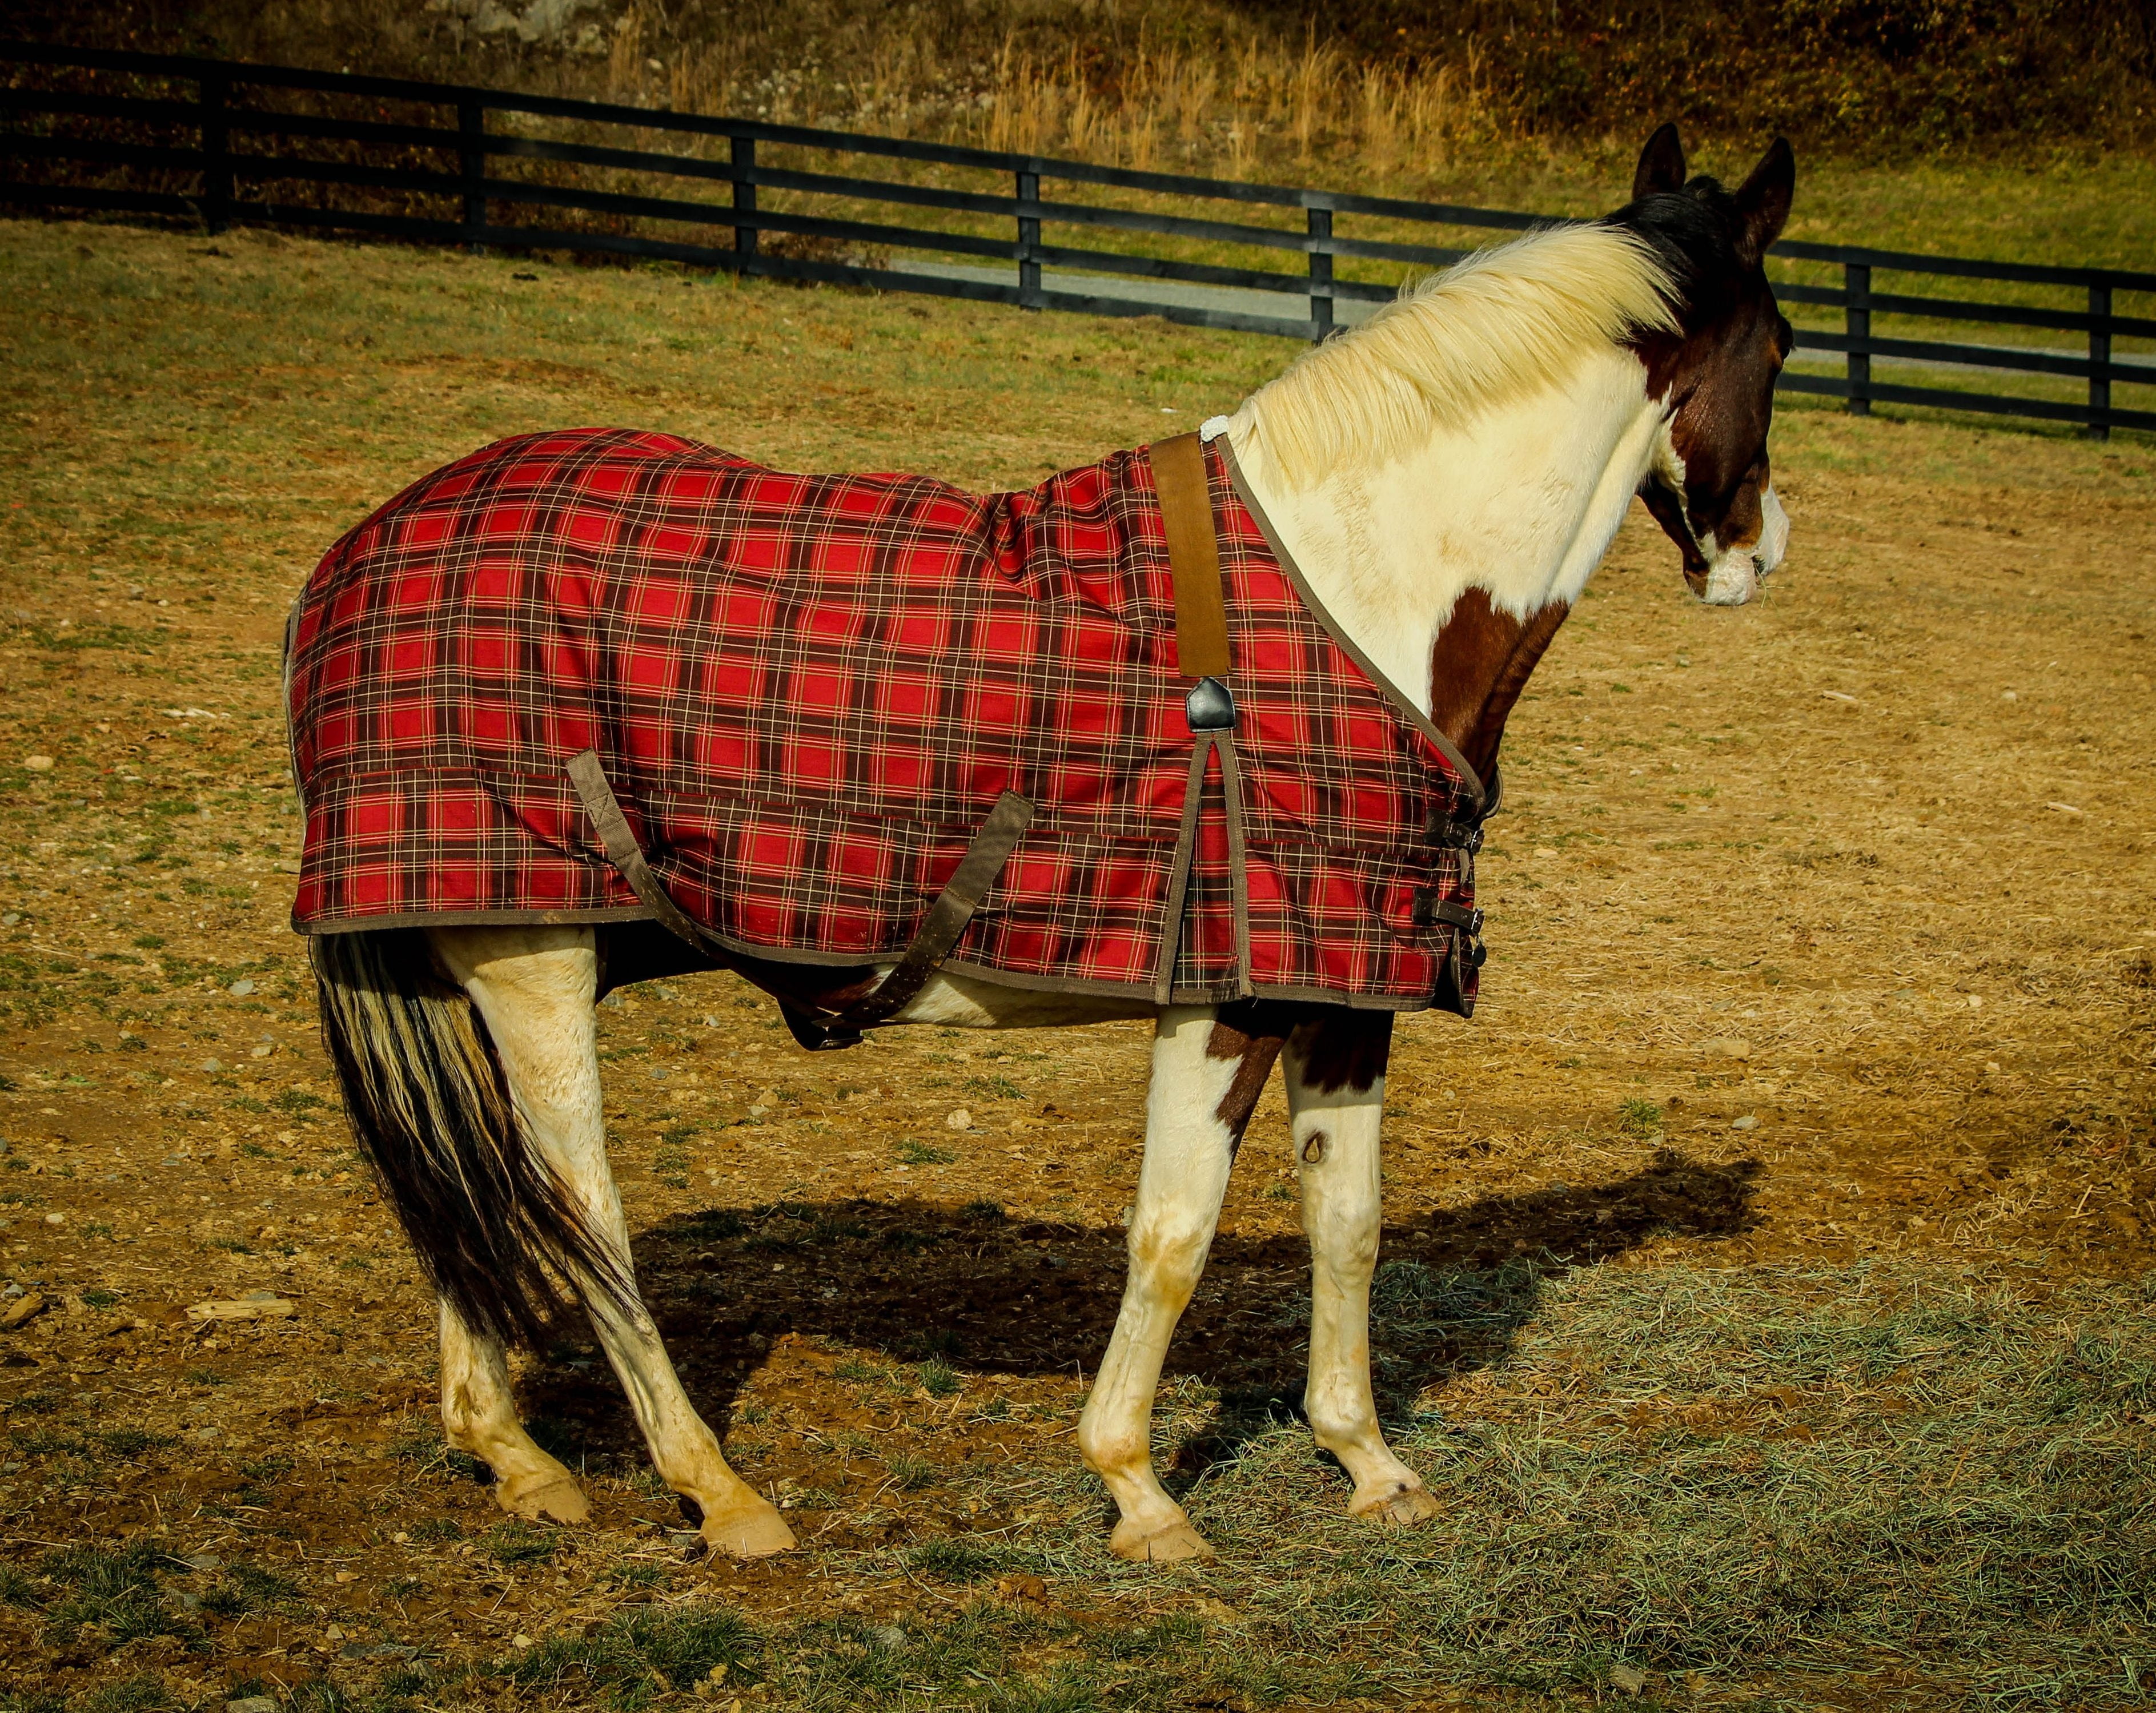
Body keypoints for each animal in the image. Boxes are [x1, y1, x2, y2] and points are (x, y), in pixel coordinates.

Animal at [292, 124, 1794, 1564]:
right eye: (1781, 352)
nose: (1755, 551)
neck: (1359, 587)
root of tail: (360, 552)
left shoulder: (1346, 994)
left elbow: (1348, 1224)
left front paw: (1366, 1463)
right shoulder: (1229, 998)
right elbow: (1174, 1237)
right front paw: (1139, 1491)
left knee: (465, 1193)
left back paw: (515, 1456)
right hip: (531, 957)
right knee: (577, 1208)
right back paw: (716, 1491)